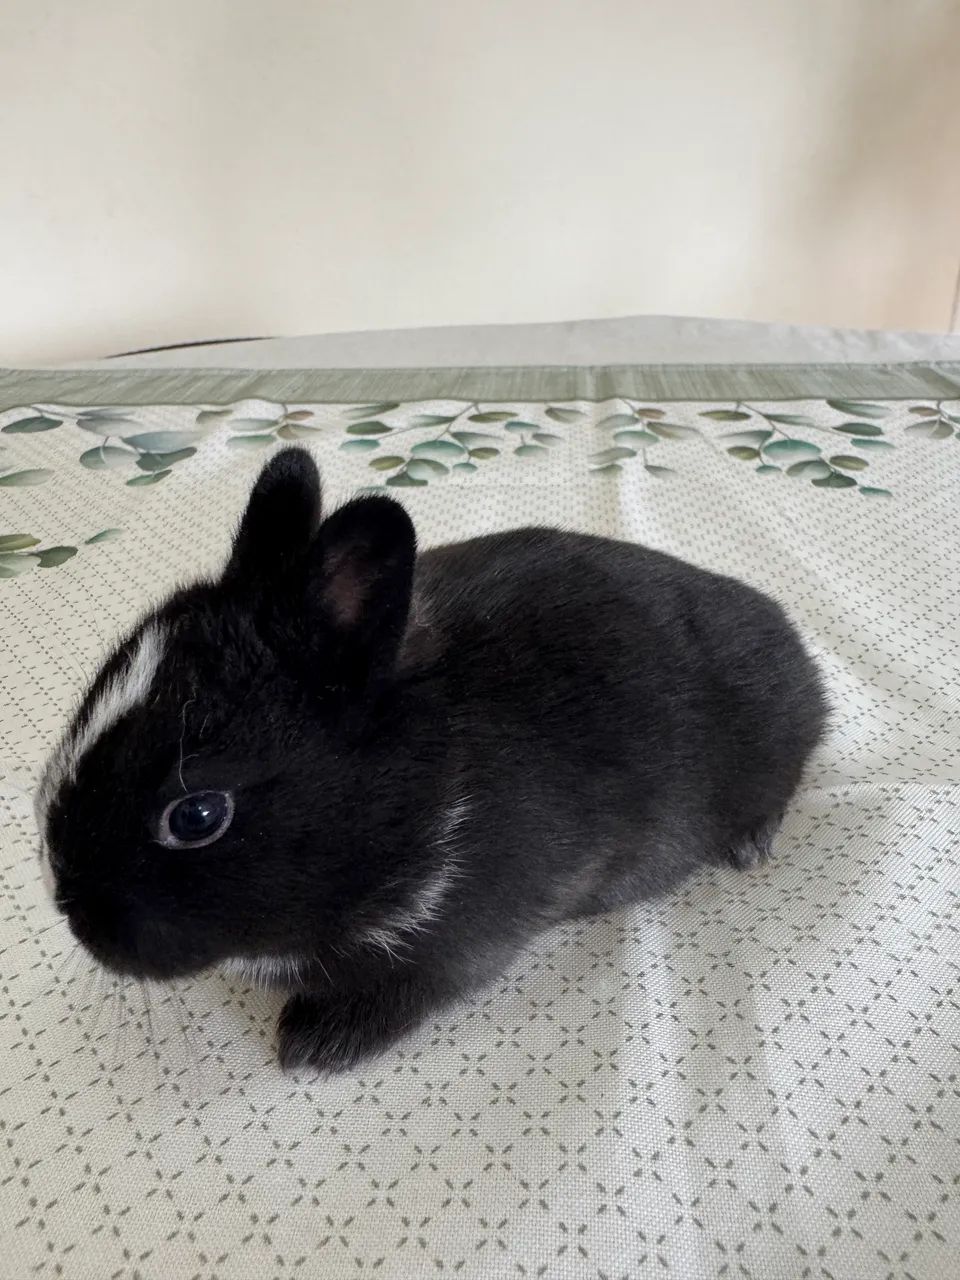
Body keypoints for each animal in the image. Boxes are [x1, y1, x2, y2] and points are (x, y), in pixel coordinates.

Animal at [36, 446, 828, 1073]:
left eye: (196, 815)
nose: (70, 912)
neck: (418, 799)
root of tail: (794, 643)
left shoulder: (451, 949)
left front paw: (314, 1045)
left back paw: (751, 845)